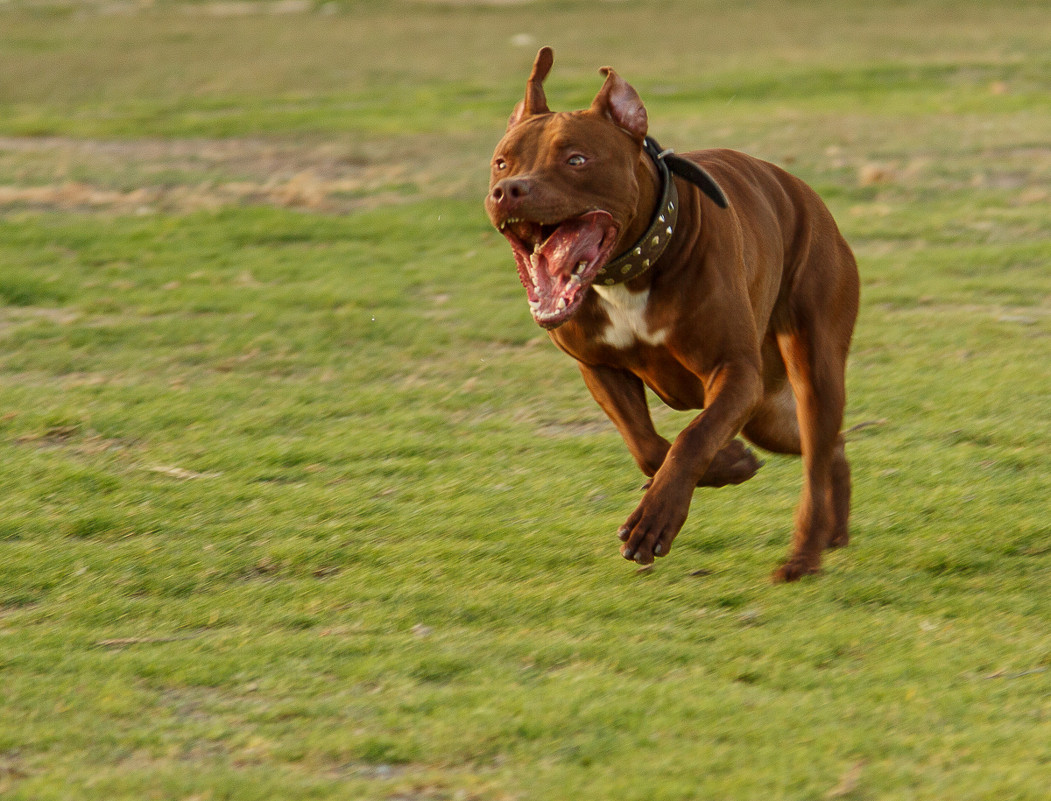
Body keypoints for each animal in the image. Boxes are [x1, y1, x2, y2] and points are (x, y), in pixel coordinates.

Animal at [481, 46, 853, 576]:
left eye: (576, 159)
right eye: (501, 162)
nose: (508, 189)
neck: (629, 271)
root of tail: (807, 195)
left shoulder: (735, 372)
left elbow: (694, 436)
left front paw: (654, 522)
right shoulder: (600, 368)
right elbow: (648, 446)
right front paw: (729, 464)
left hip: (812, 366)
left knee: (818, 453)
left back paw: (804, 555)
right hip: (767, 411)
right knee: (830, 445)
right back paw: (833, 531)